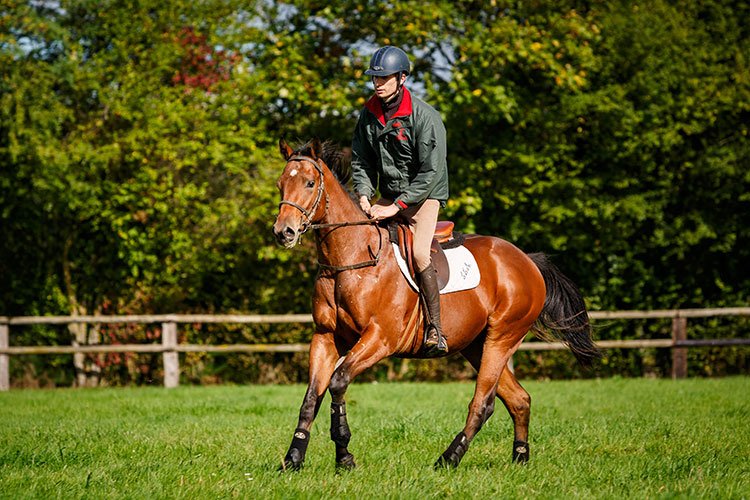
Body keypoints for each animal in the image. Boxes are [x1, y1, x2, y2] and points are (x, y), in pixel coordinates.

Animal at [272, 138, 598, 471]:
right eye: (281, 184)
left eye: (310, 183)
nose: (283, 232)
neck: (351, 259)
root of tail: (527, 261)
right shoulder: (325, 337)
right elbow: (311, 397)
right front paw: (293, 458)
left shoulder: (380, 339)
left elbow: (337, 383)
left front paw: (344, 455)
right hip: (477, 345)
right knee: (519, 399)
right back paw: (520, 459)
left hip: (502, 338)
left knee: (483, 403)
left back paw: (449, 458)